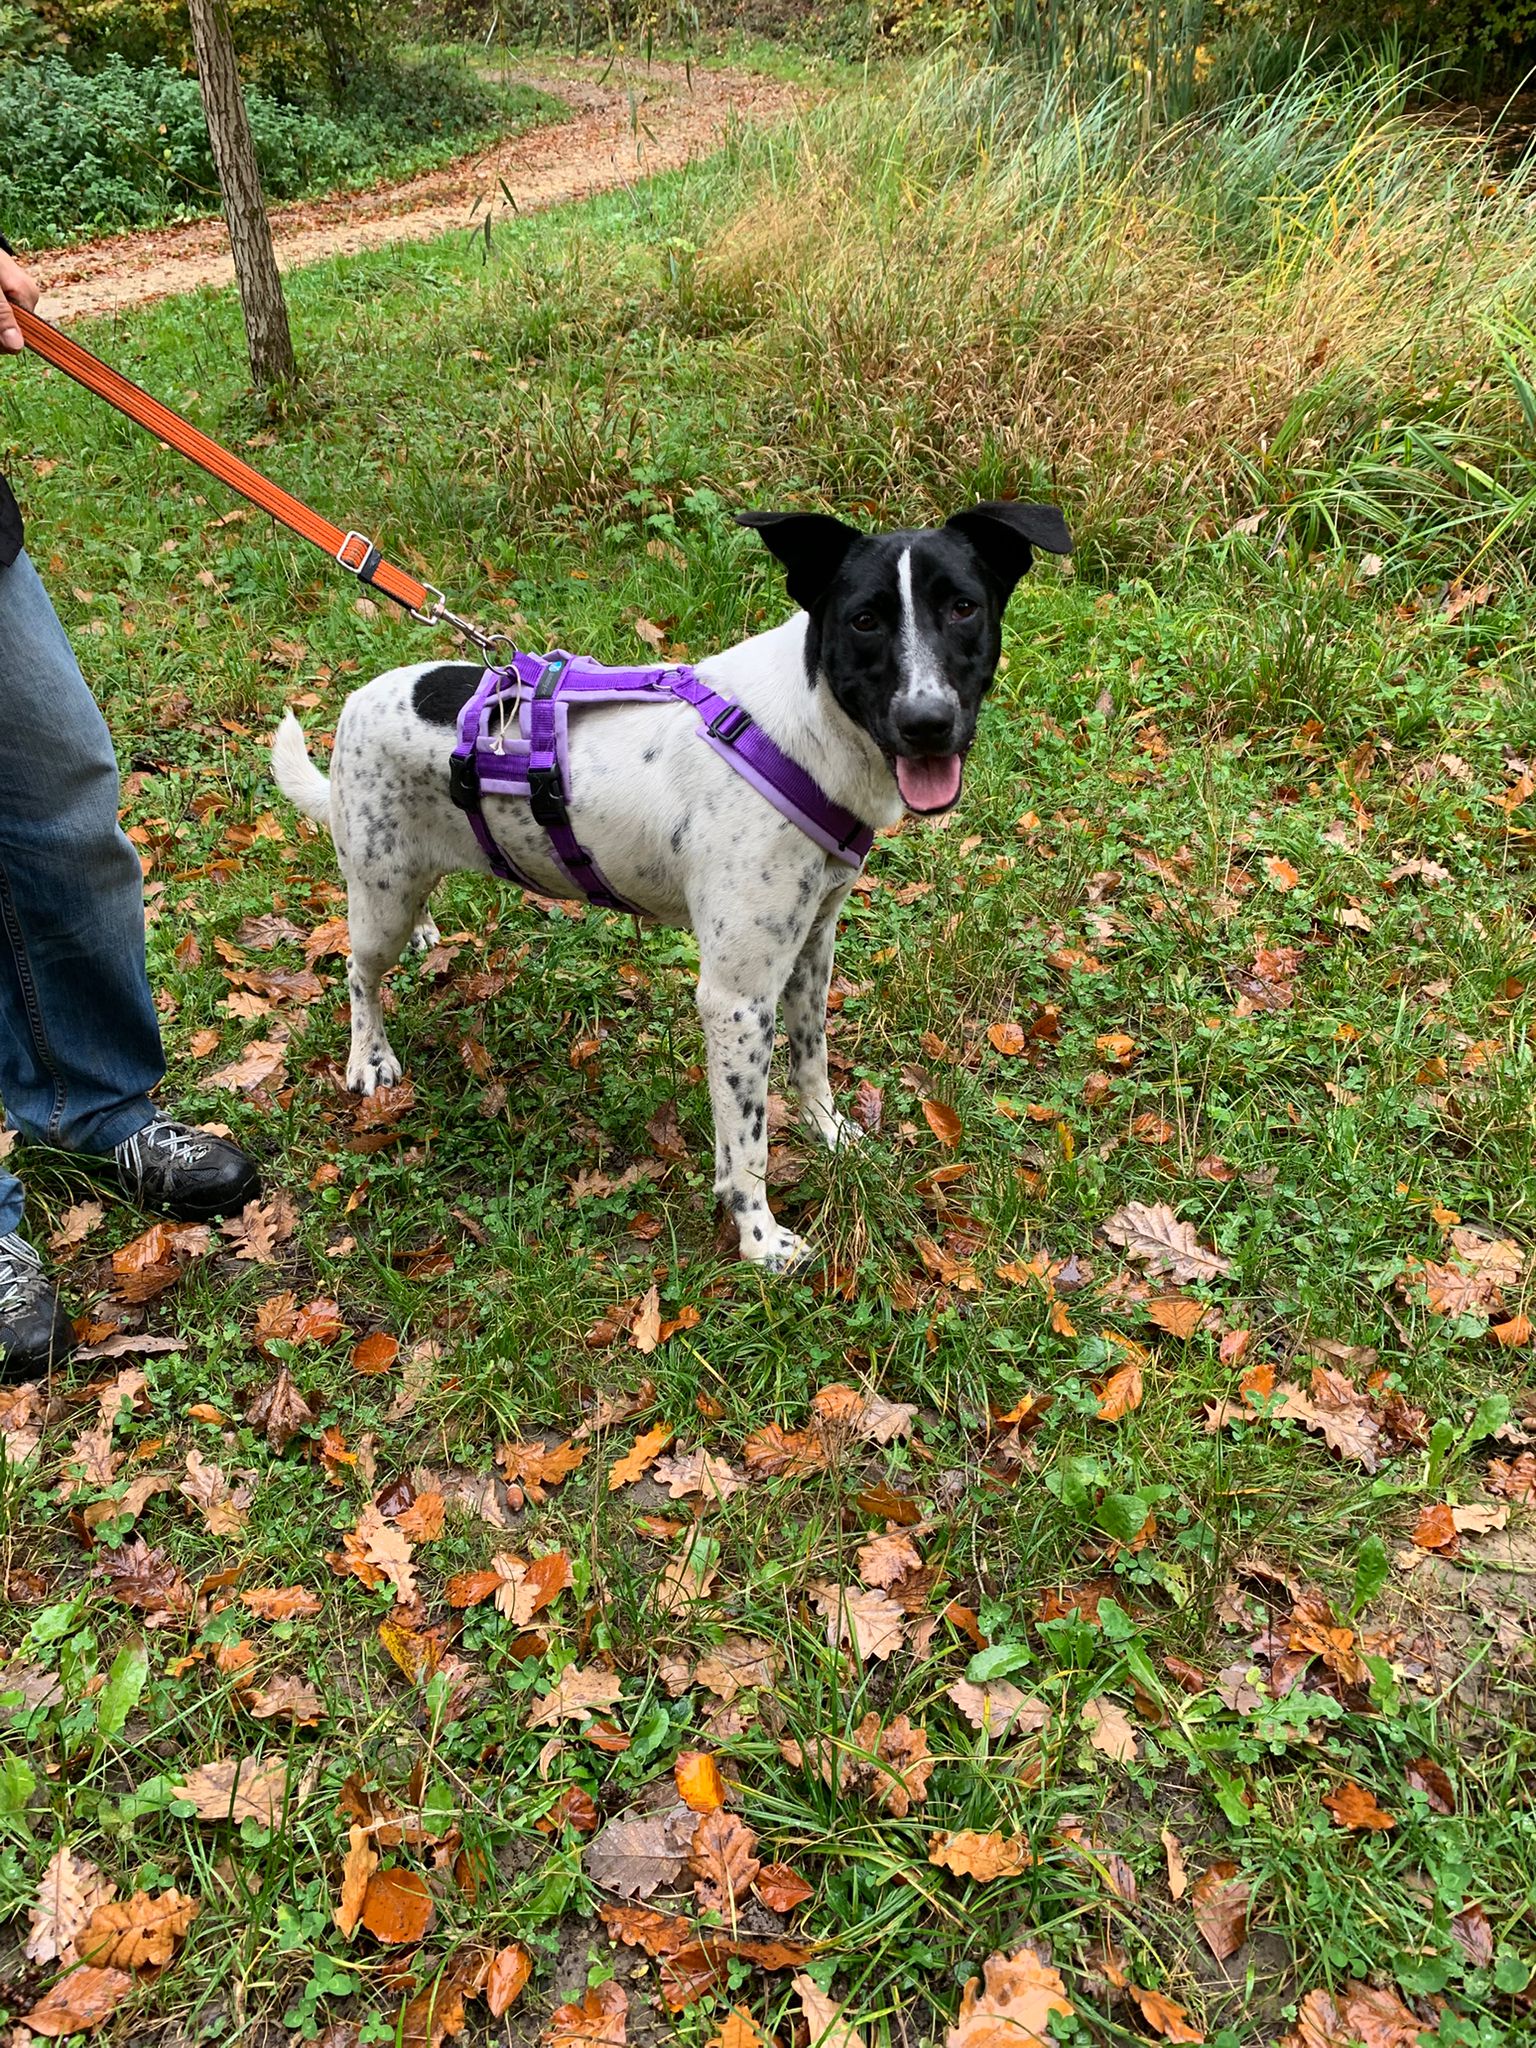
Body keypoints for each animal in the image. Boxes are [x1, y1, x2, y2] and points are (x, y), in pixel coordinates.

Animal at [271, 502, 1071, 1269]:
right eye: (864, 620)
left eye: (963, 607)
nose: (927, 722)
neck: (806, 732)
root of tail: (357, 701)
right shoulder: (737, 1000)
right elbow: (746, 1144)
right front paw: (758, 1239)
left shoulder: (810, 949)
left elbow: (812, 1061)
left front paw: (831, 1131)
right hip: (379, 899)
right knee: (358, 974)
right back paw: (368, 1058)